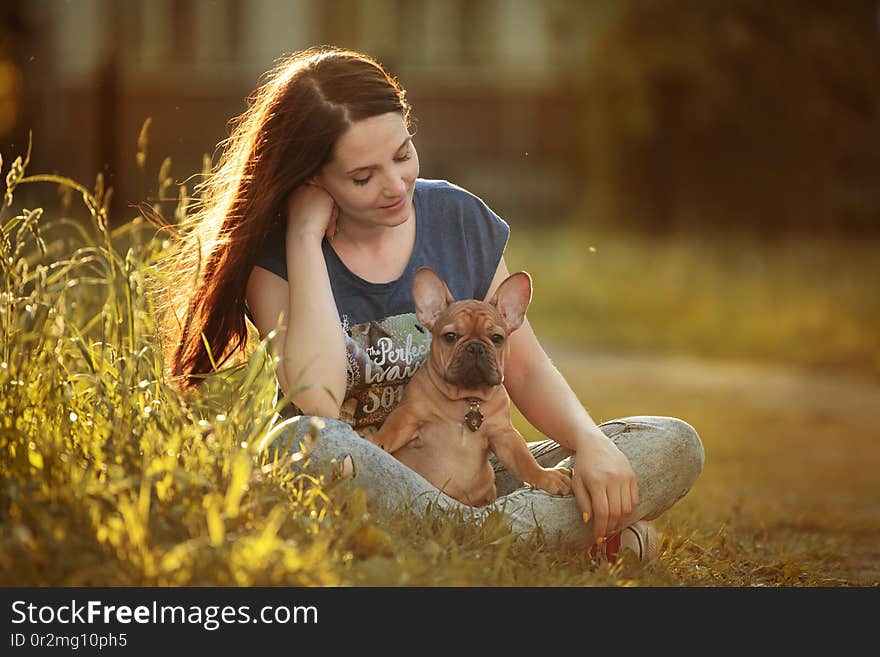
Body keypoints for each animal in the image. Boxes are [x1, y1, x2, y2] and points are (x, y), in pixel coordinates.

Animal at [368, 266, 576, 508]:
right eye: (450, 336)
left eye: (497, 338)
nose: (475, 347)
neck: (467, 399)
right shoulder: (409, 415)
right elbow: (391, 431)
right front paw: (375, 441)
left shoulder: (504, 435)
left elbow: (524, 460)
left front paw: (546, 476)